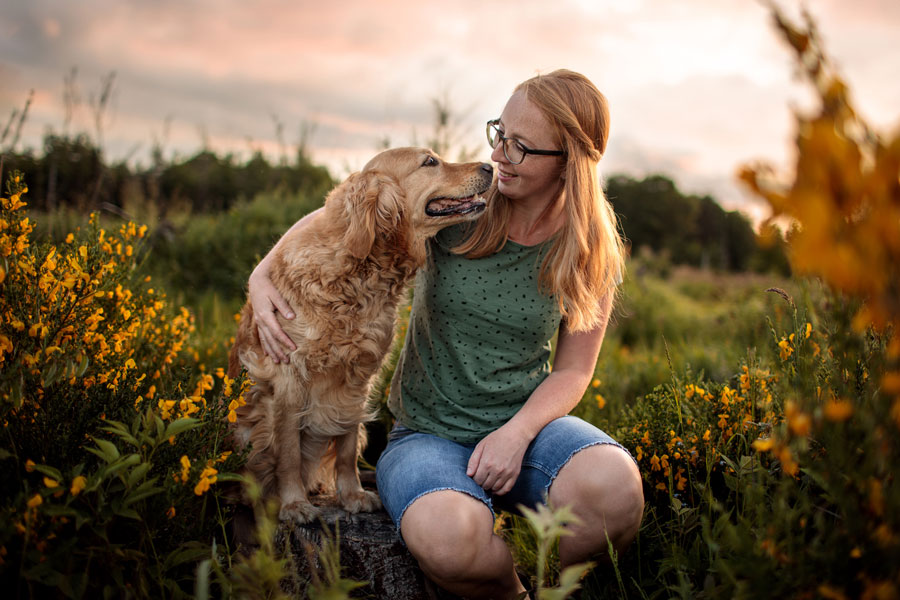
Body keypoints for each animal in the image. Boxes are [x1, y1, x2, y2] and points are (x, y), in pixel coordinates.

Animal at [227, 148, 492, 524]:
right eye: (429, 162)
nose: (490, 166)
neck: (357, 272)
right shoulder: (288, 379)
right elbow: (288, 452)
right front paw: (294, 504)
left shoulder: (357, 381)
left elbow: (347, 447)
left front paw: (352, 494)